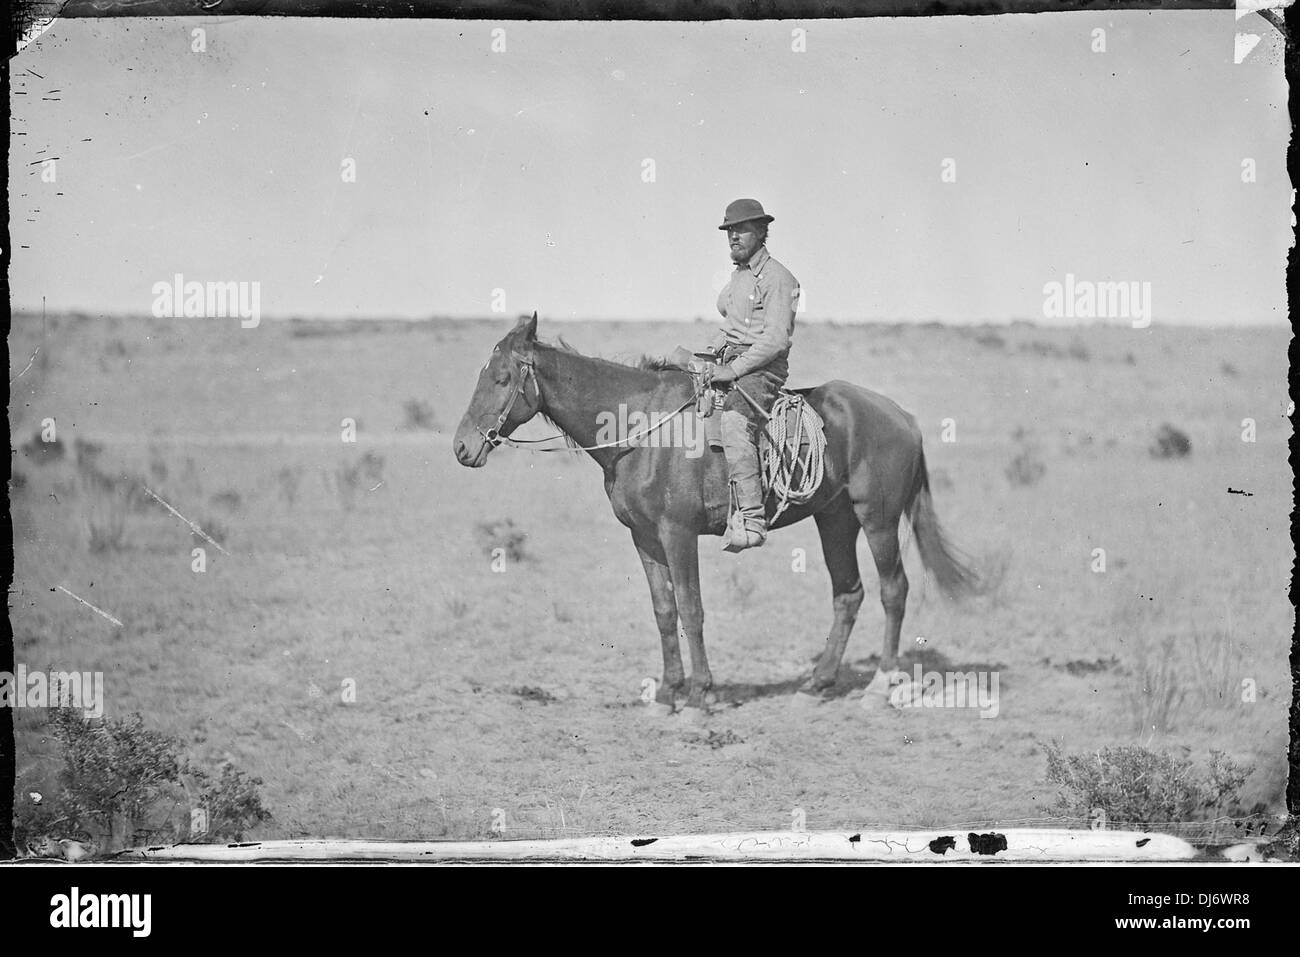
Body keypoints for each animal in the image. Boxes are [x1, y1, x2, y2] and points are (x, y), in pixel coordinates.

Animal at [452, 314, 972, 717]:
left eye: (502, 379)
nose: (462, 447)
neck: (640, 429)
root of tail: (903, 417)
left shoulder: (677, 533)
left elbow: (691, 609)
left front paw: (699, 698)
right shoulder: (644, 537)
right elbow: (664, 612)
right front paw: (667, 694)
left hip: (877, 519)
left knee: (893, 590)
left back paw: (879, 687)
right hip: (835, 520)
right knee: (848, 594)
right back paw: (815, 685)